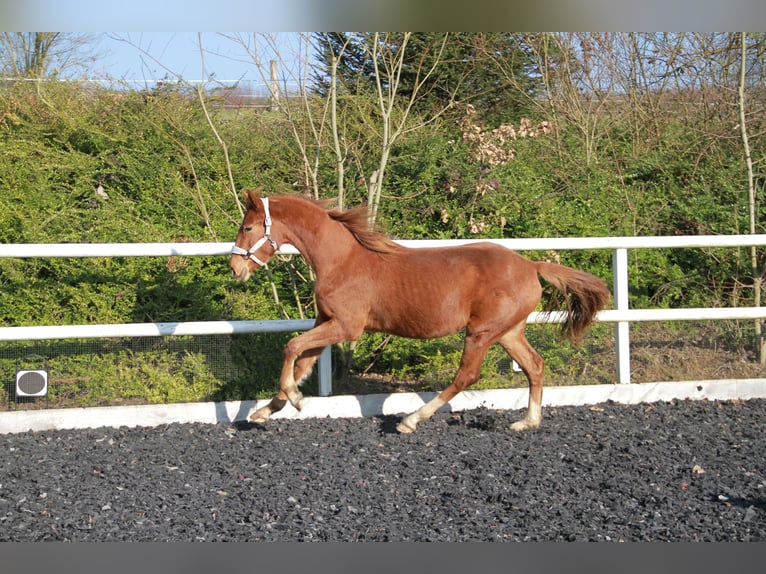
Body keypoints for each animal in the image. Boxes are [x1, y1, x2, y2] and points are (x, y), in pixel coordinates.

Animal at [228, 191, 612, 434]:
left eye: (247, 227)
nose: (235, 268)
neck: (341, 261)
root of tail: (531, 266)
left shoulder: (347, 327)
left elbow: (291, 347)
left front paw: (294, 400)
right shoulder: (327, 322)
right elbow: (303, 362)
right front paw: (265, 411)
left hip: (482, 332)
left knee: (467, 375)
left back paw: (410, 420)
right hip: (508, 332)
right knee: (534, 365)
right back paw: (526, 422)